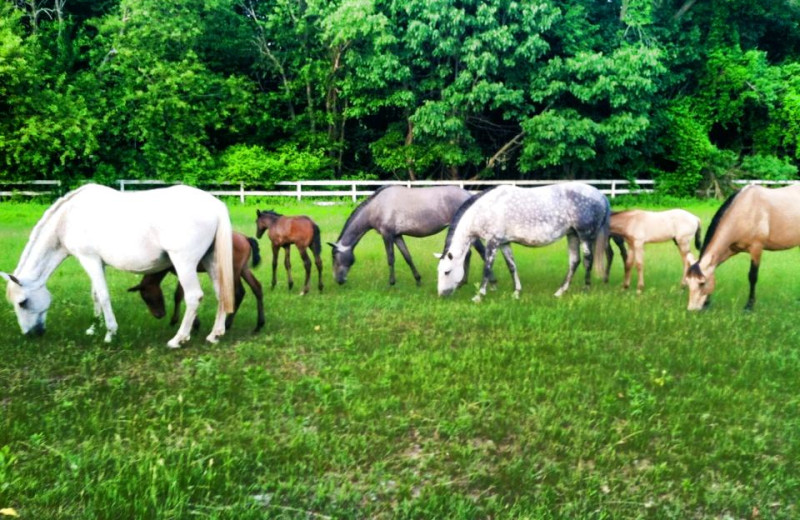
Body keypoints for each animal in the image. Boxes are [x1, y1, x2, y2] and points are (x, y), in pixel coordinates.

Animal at [1, 184, 234, 350]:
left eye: (22, 302)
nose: (30, 334)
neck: (68, 219)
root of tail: (215, 205)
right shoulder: (98, 263)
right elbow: (95, 294)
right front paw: (93, 328)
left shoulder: (89, 259)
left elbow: (103, 295)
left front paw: (110, 333)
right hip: (211, 262)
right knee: (221, 294)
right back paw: (214, 335)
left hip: (184, 264)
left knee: (194, 297)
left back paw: (178, 339)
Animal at [128, 233, 266, 332]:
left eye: (147, 297)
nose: (159, 315)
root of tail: (245, 238)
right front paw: (195, 323)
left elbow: (178, 295)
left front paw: (177, 321)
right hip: (243, 269)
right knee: (257, 287)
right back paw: (259, 325)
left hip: (234, 270)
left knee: (239, 292)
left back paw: (227, 324)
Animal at [326, 186, 494, 286]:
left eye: (334, 256)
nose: (338, 280)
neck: (376, 207)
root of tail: (469, 194)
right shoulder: (397, 236)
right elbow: (407, 256)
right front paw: (418, 280)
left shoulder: (387, 235)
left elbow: (391, 258)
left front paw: (391, 282)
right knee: (468, 254)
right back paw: (462, 282)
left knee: (481, 252)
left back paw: (490, 281)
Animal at [434, 183, 608, 300]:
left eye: (447, 271)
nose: (441, 295)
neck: (485, 210)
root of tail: (601, 195)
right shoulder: (504, 243)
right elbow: (512, 266)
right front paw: (516, 292)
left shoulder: (493, 242)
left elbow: (487, 268)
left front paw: (479, 296)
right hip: (572, 235)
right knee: (574, 261)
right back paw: (560, 292)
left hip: (584, 235)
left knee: (587, 260)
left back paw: (585, 289)